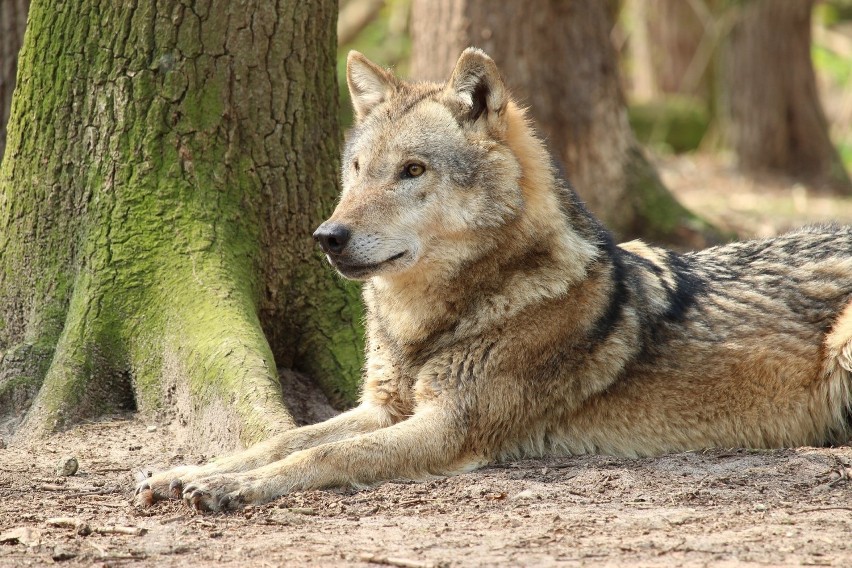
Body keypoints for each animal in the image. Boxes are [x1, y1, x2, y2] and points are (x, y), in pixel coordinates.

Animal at [135, 47, 852, 510]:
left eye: (413, 171)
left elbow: (322, 457)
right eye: (358, 169)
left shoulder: (448, 428)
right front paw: (189, 470)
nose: (326, 237)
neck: (430, 326)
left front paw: (230, 488)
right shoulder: (381, 408)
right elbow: (284, 437)